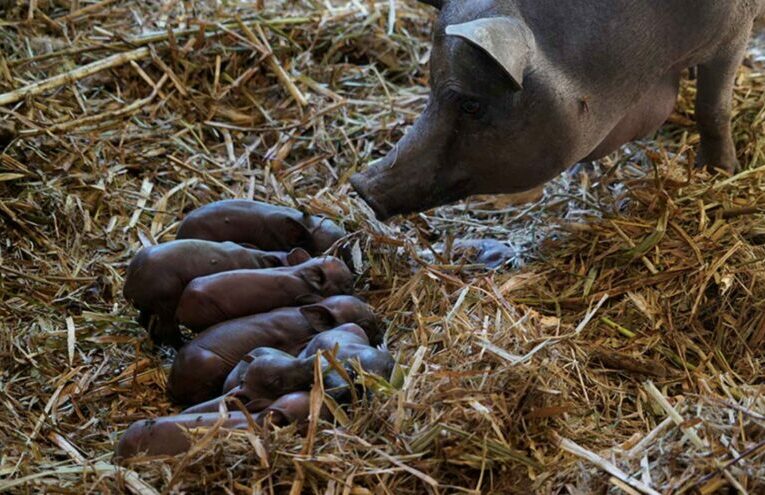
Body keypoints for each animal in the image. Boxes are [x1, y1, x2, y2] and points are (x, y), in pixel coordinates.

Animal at [124, 241, 308, 348]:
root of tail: (129, 285)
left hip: (149, 307)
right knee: (168, 331)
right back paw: (181, 343)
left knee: (143, 321)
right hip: (166, 305)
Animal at [350, 0, 760, 219]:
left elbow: (712, 108)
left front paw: (717, 173)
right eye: (430, 88)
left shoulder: (735, 29)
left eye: (470, 104)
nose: (359, 185)